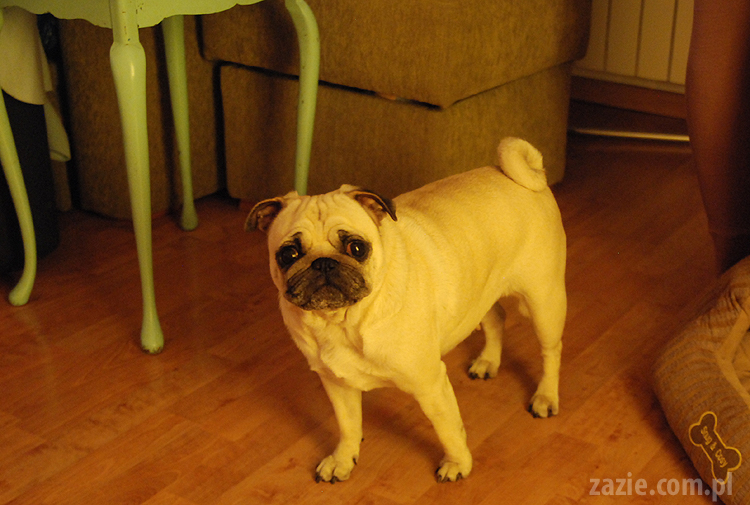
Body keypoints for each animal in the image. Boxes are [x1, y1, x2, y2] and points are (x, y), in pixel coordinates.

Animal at [245, 137, 567, 483]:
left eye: (356, 248)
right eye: (288, 254)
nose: (323, 263)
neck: (342, 322)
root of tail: (525, 175)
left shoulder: (430, 385)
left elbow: (448, 429)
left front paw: (457, 463)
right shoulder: (337, 385)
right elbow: (348, 426)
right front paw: (344, 458)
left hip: (544, 302)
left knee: (550, 351)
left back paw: (546, 397)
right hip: (482, 294)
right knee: (496, 318)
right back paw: (488, 362)